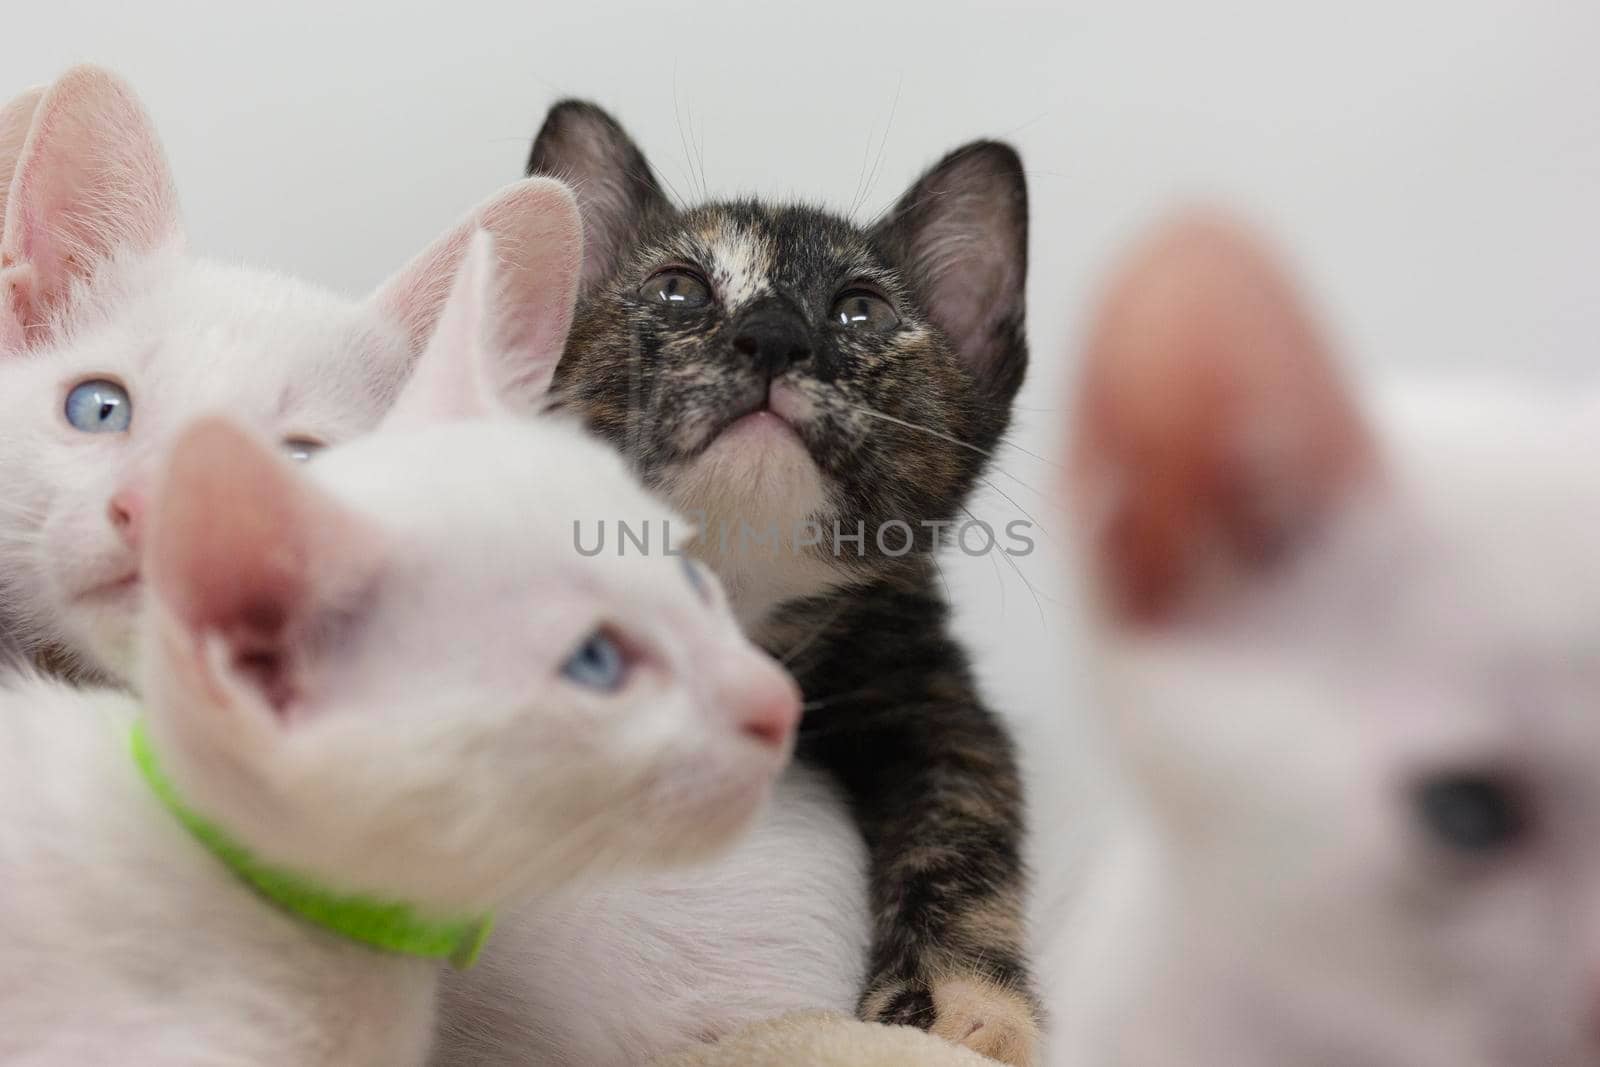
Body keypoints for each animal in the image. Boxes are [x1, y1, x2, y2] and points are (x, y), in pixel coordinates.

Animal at [531, 97, 1036, 1062]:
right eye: (679, 289)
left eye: (860, 311)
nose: (773, 336)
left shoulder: (930, 690)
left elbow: (962, 830)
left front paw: (961, 1002)